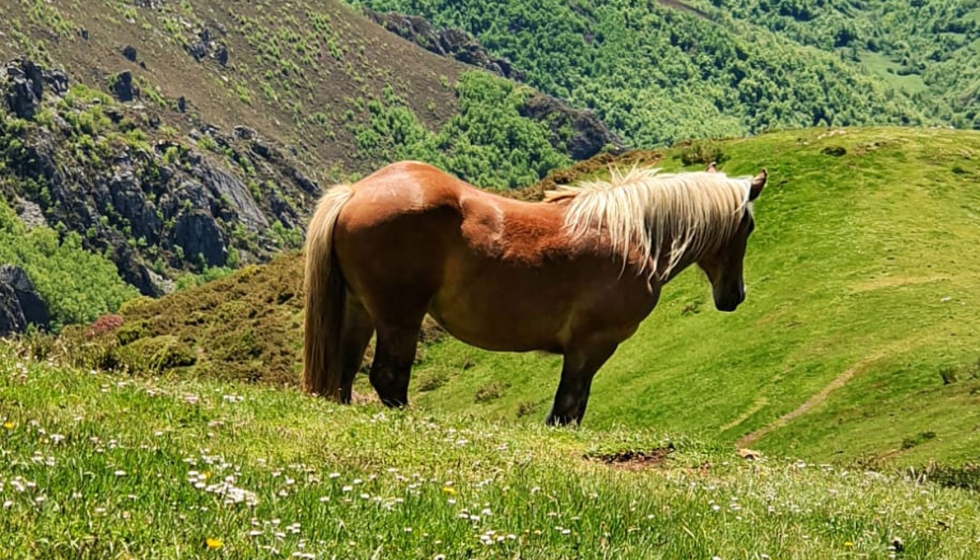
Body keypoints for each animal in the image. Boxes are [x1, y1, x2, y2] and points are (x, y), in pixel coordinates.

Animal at [300, 160, 764, 426]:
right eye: (749, 226)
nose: (734, 296)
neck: (633, 234)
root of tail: (355, 193)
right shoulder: (592, 345)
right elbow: (567, 408)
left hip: (359, 311)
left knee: (343, 375)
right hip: (400, 316)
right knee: (388, 378)